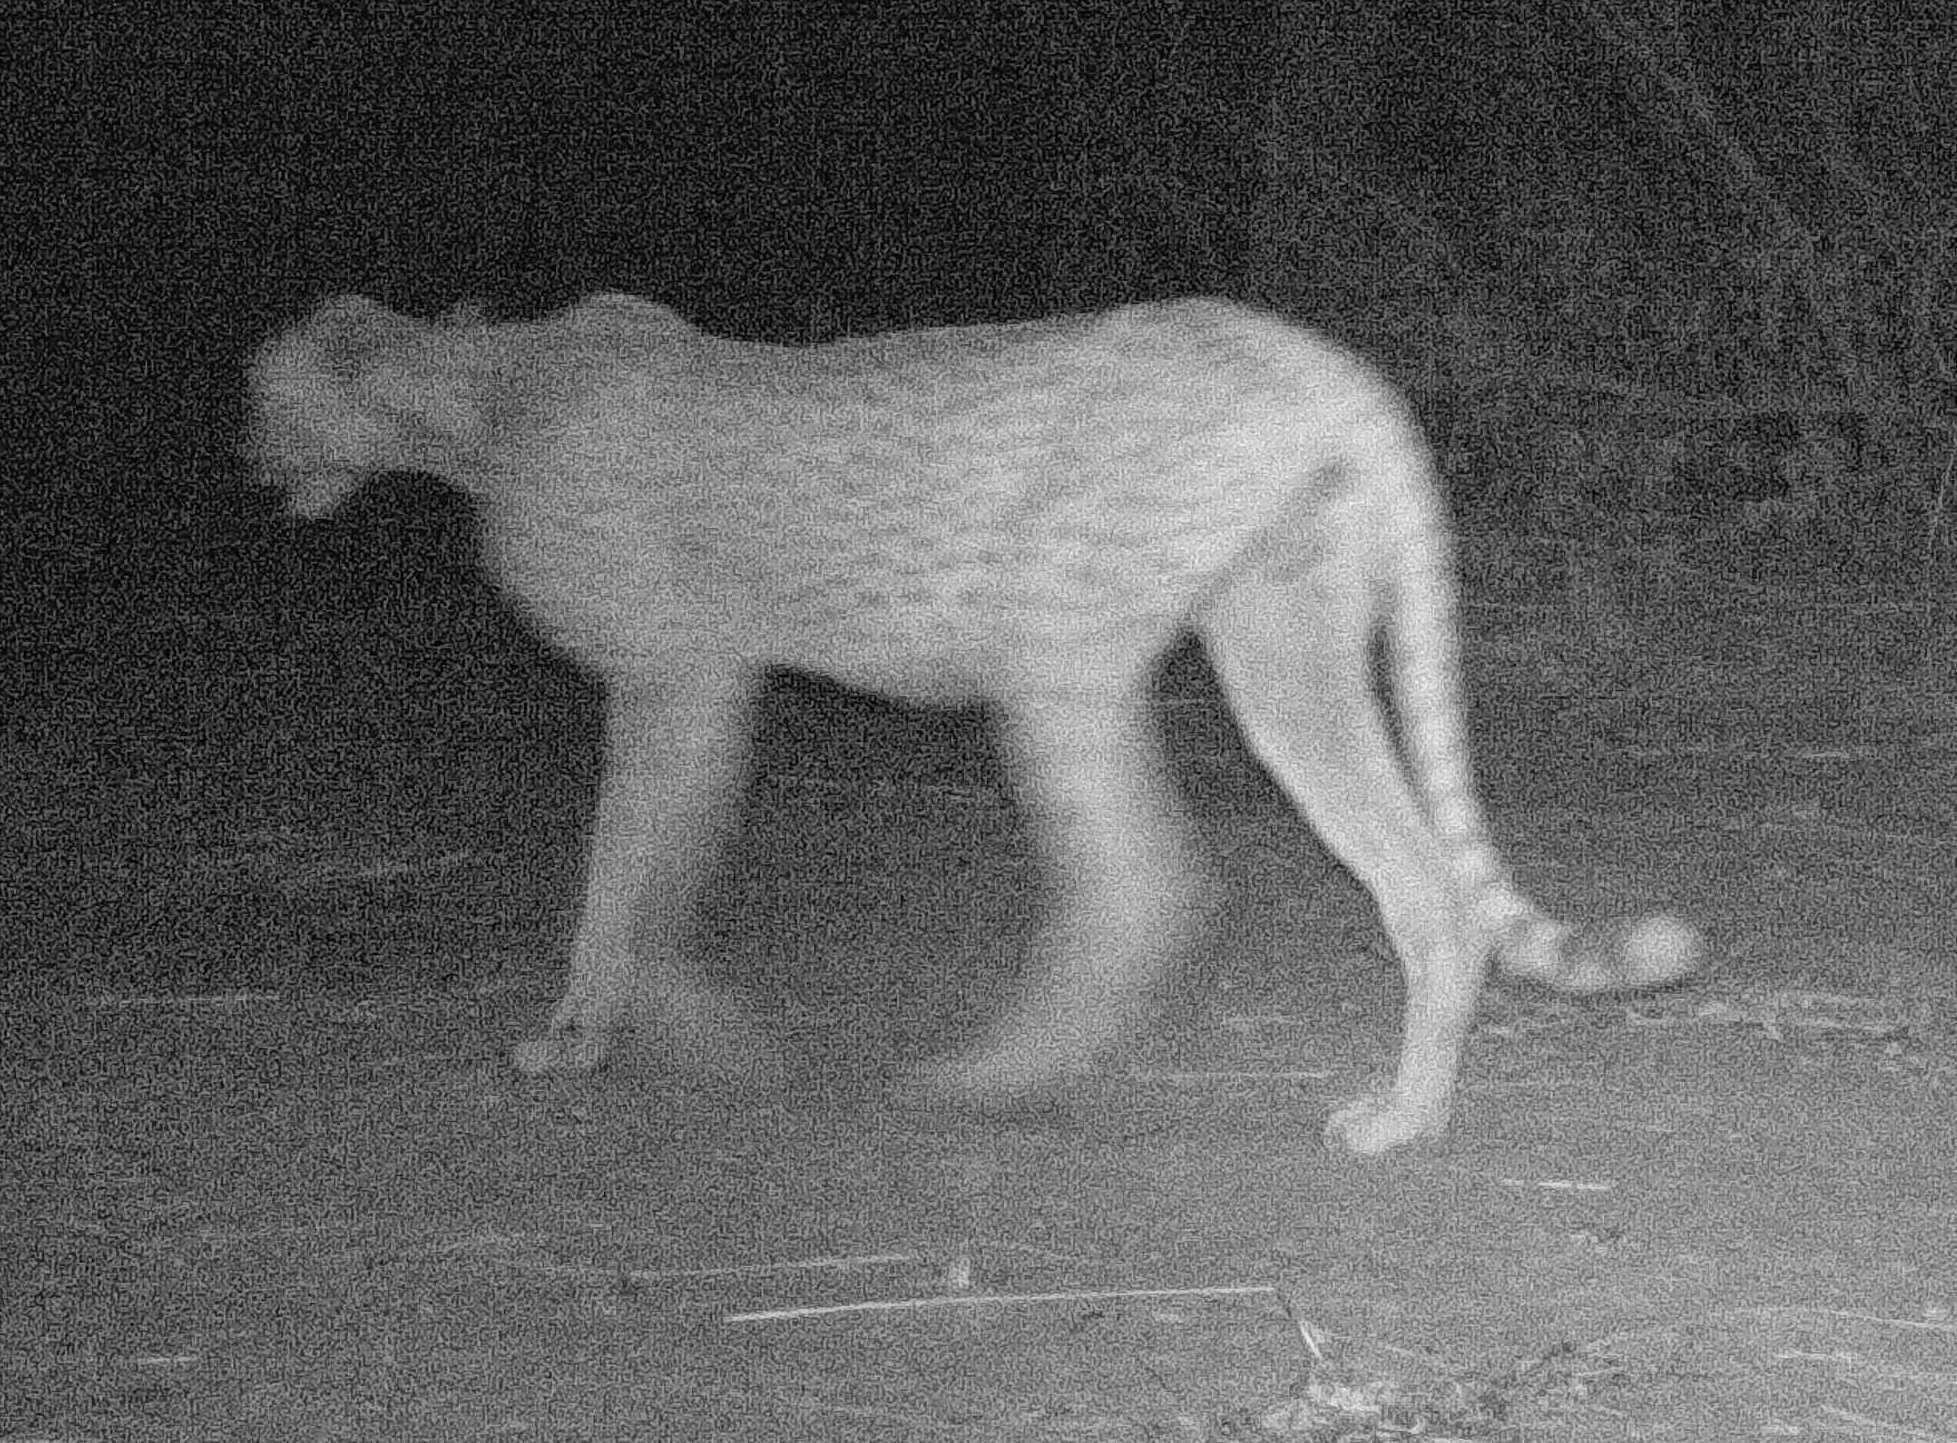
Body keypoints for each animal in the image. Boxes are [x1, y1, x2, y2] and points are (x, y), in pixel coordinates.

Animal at [252, 293, 1698, 1151]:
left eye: (261, 392)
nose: (245, 459)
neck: (479, 398)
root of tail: (1300, 348)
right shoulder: (699, 673)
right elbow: (639, 864)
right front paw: (614, 1025)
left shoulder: (682, 675)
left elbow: (632, 867)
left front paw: (623, 1026)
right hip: (1279, 638)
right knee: (1420, 882)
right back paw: (1409, 1114)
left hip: (1054, 647)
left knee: (1146, 880)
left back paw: (995, 1078)